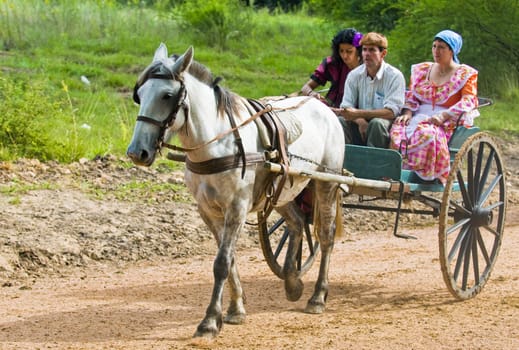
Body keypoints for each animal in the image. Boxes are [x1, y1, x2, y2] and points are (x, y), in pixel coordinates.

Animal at [126, 42, 346, 338]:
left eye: (167, 95)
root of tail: (324, 107)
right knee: (298, 223)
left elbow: (221, 262)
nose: (136, 152)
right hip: (282, 190)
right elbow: (228, 260)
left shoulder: (237, 208)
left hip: (326, 182)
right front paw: (235, 309)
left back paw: (318, 296)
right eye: (139, 95)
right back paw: (292, 281)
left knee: (325, 236)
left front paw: (209, 321)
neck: (217, 143)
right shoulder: (208, 211)